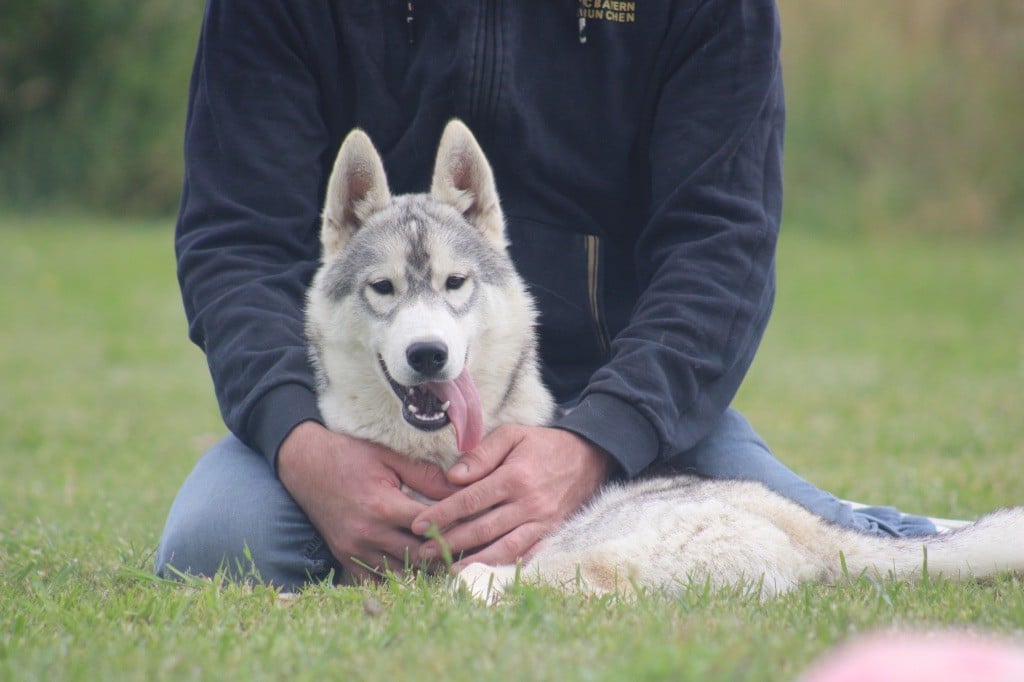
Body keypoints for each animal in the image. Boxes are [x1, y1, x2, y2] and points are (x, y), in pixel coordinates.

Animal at [305, 119, 1024, 598]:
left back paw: (480, 587)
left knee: (564, 585)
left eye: (455, 284)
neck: (437, 459)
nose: (428, 355)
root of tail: (813, 526)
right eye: (383, 288)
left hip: (603, 546)